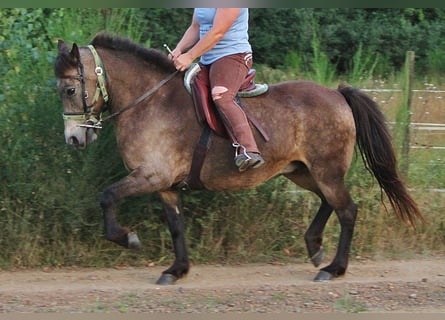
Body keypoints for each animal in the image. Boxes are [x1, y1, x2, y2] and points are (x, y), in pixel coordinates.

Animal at [53, 32, 424, 284]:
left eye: (70, 89)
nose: (74, 139)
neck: (150, 100)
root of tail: (336, 94)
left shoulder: (151, 175)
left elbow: (107, 196)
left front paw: (127, 239)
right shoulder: (166, 185)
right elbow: (176, 225)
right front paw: (177, 270)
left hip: (326, 171)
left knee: (347, 210)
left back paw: (334, 268)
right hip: (302, 172)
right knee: (329, 203)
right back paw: (315, 247)